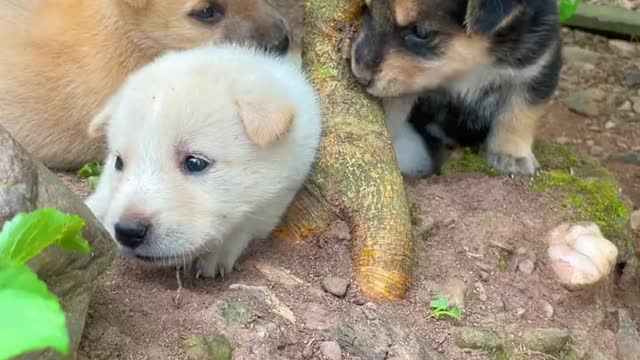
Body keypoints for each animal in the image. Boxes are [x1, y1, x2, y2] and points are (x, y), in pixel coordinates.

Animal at [350, 0, 560, 177]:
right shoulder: (405, 86)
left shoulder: (538, 67)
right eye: (366, 6)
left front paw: (512, 156)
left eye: (421, 32)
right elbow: (392, 117)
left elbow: (519, 114)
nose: (360, 75)